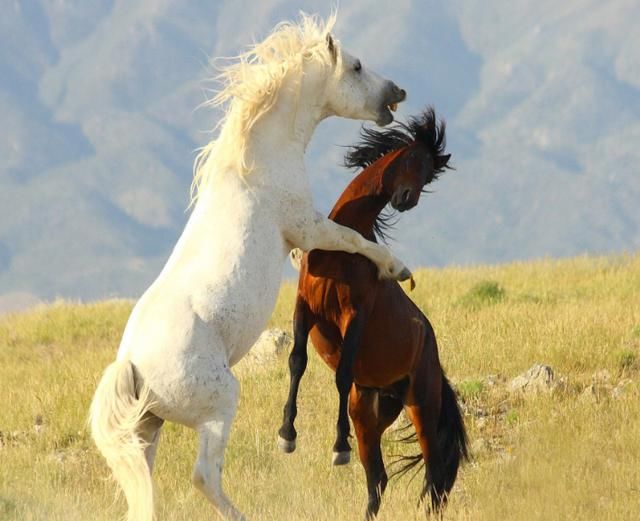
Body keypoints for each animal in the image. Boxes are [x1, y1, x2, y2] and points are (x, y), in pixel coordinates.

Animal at [90, 13, 408, 520]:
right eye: (357, 66)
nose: (396, 92)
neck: (256, 165)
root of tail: (132, 365)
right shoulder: (307, 228)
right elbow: (354, 240)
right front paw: (397, 268)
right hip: (220, 405)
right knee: (205, 476)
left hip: (147, 430)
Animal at [278, 108, 468, 516]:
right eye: (413, 159)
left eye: (429, 174)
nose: (407, 199)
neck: (341, 248)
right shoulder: (304, 307)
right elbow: (297, 361)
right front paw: (287, 434)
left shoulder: (355, 314)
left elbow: (342, 374)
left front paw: (338, 447)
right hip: (369, 414)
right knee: (378, 479)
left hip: (421, 406)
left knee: (434, 475)